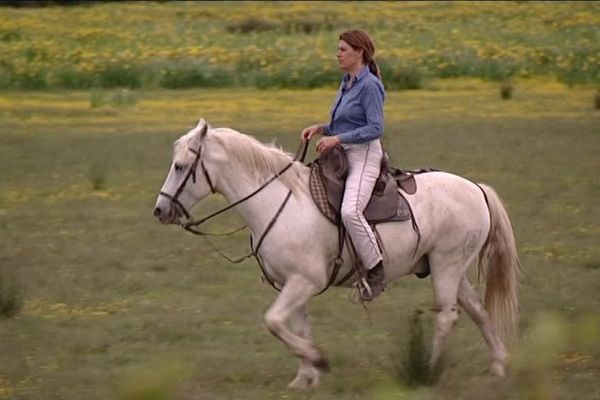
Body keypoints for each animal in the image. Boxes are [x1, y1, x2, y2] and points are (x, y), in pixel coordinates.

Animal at [155, 119, 520, 388]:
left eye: (180, 166)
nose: (160, 210)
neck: (279, 202)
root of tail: (476, 189)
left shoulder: (304, 281)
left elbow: (273, 321)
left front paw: (318, 360)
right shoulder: (292, 284)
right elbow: (294, 326)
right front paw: (305, 378)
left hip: (446, 266)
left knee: (447, 316)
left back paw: (428, 372)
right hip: (452, 270)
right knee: (477, 311)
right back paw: (499, 365)